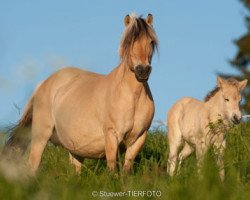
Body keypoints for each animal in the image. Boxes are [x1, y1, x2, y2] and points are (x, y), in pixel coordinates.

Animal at [4, 13, 158, 174]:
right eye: (129, 41)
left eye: (151, 41)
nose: (143, 70)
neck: (132, 98)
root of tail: (44, 83)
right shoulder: (111, 135)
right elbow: (112, 168)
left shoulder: (139, 138)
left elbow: (126, 170)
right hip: (40, 137)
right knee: (33, 164)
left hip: (75, 151)